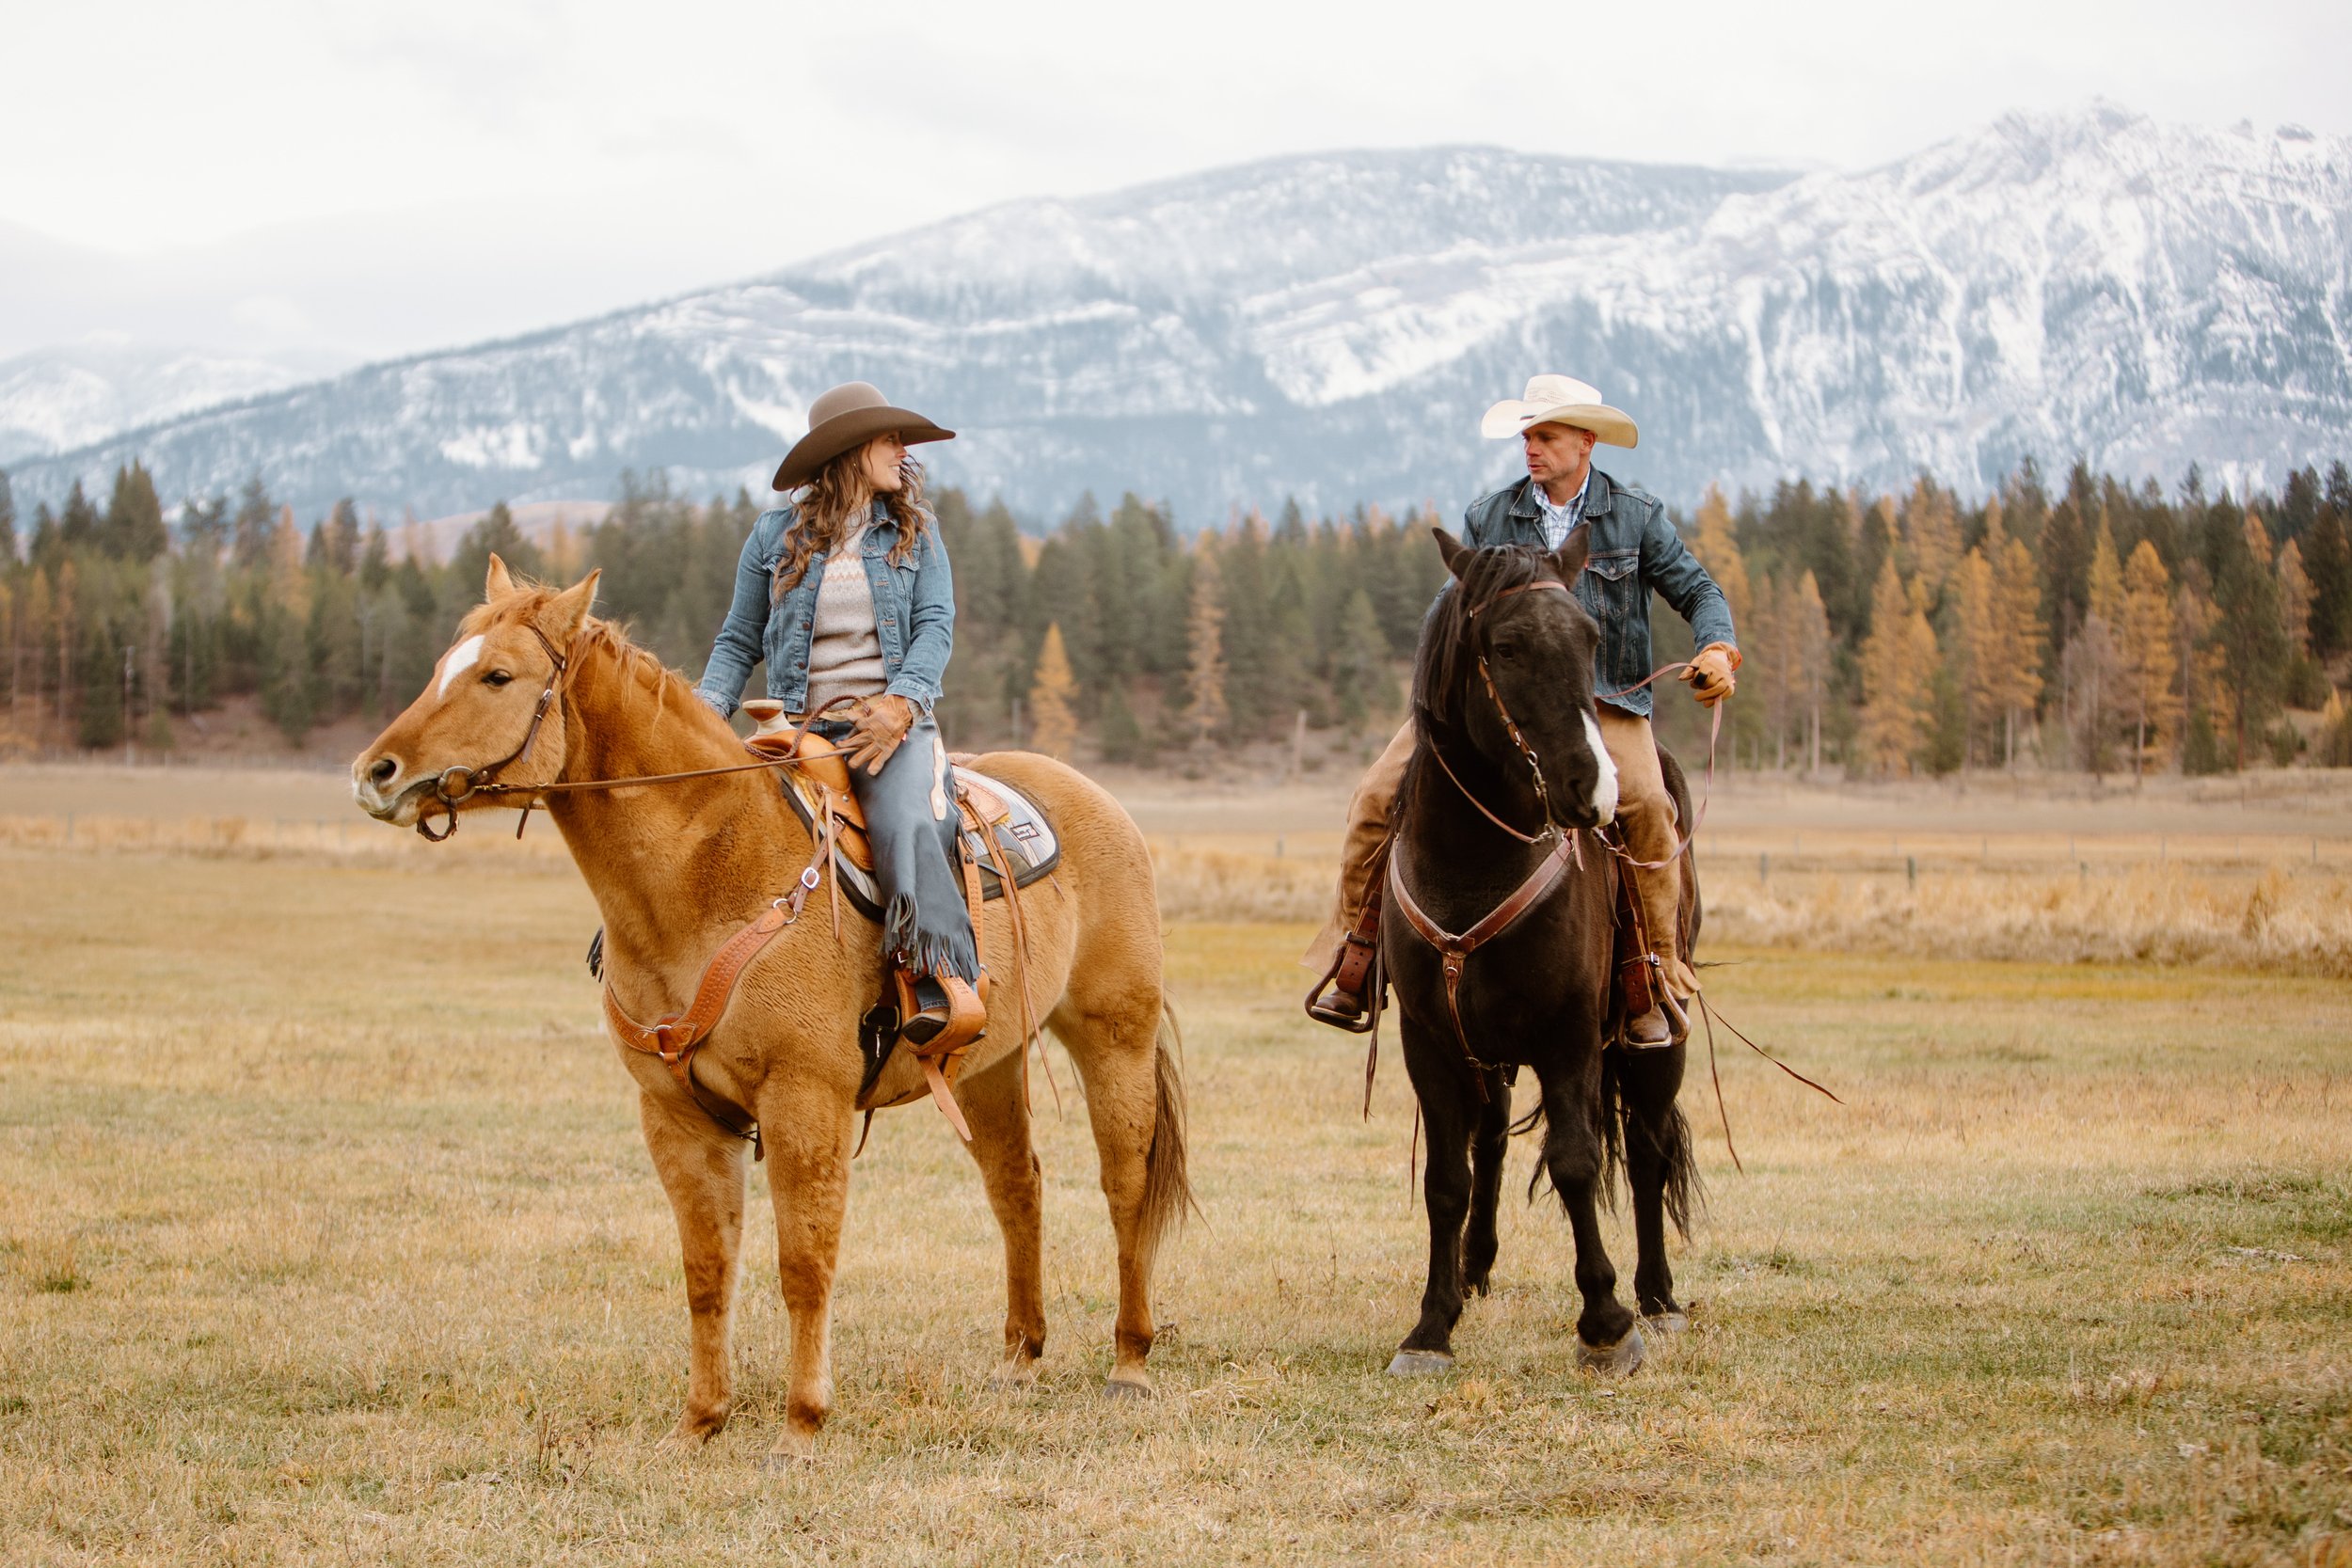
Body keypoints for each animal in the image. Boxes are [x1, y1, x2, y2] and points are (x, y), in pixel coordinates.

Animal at [348, 562, 1195, 1457]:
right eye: (444, 664)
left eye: (497, 675)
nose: (375, 772)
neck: (709, 875)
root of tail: (1097, 799)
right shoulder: (676, 1117)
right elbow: (707, 1270)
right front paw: (701, 1419)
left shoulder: (803, 1101)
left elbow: (804, 1264)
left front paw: (801, 1422)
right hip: (984, 1064)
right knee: (1017, 1188)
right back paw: (1020, 1356)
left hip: (1115, 1037)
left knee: (1124, 1184)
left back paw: (1130, 1362)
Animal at [1374, 533, 1693, 1382]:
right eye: (1506, 646)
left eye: (1589, 639)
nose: (1594, 789)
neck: (1474, 863)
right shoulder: (1430, 1041)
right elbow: (1446, 1178)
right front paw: (1431, 1324)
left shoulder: (1569, 1035)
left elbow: (1578, 1162)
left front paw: (1607, 1323)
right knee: (1488, 1142)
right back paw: (1475, 1267)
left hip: (1651, 1043)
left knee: (1647, 1150)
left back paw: (1659, 1296)